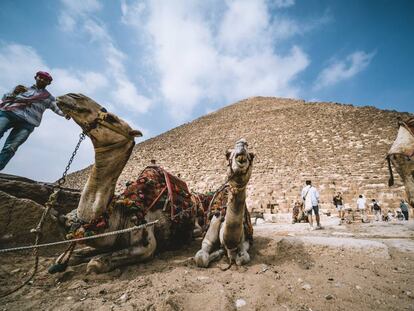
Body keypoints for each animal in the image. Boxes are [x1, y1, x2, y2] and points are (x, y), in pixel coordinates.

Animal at [51, 94, 200, 274]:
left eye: (111, 118)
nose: (73, 96)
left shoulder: (146, 244)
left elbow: (95, 263)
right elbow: (72, 255)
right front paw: (63, 261)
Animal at [195, 139, 256, 268]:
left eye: (252, 155)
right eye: (227, 154)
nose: (242, 143)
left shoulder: (245, 241)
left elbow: (244, 258)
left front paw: (229, 255)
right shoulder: (209, 234)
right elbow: (201, 258)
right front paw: (218, 252)